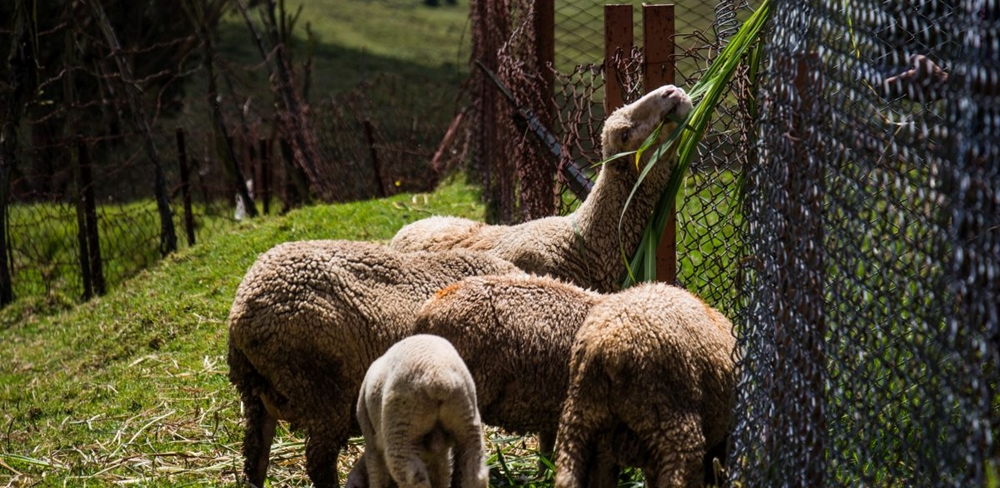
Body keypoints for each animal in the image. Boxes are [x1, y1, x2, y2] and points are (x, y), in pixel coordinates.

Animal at [354, 334, 490, 488]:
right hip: (466, 415)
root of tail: (439, 379)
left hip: (402, 424)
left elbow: (377, 473)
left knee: (410, 474)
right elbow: (442, 472)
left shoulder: (372, 441)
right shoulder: (441, 452)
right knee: (474, 469)